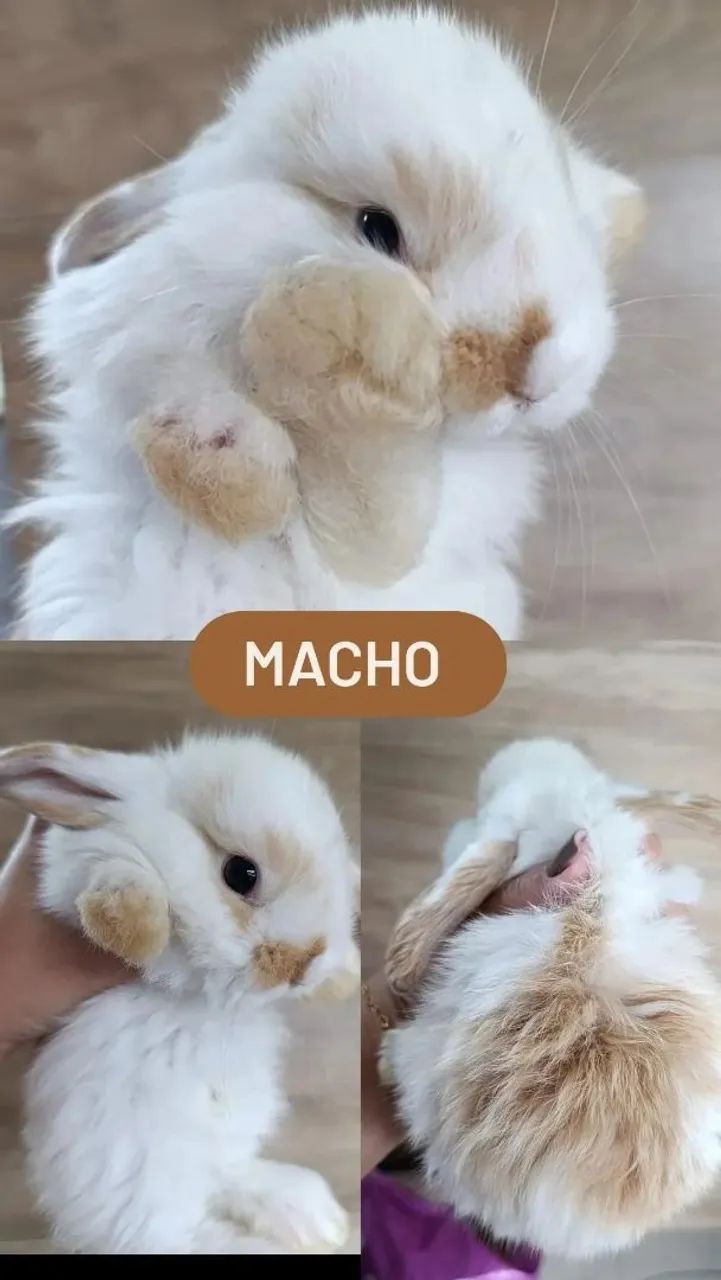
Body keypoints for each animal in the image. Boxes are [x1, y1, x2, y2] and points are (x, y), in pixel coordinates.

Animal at [0, 733, 359, 1255]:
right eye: (241, 874)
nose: (305, 963)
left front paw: (344, 974)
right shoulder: (73, 870)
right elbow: (117, 870)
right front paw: (134, 926)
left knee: (231, 1177)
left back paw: (317, 1218)